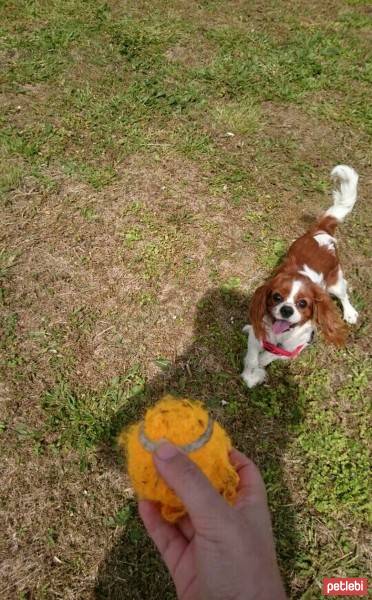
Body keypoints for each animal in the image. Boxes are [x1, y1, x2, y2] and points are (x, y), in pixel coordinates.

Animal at [243, 165, 358, 390]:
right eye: (276, 297)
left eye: (303, 303)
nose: (286, 310)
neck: (280, 336)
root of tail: (322, 230)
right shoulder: (257, 333)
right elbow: (253, 354)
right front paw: (250, 372)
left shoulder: (296, 347)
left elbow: (270, 356)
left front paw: (261, 365)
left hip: (334, 282)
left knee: (343, 293)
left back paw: (350, 313)